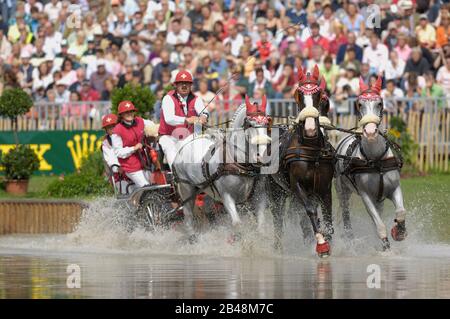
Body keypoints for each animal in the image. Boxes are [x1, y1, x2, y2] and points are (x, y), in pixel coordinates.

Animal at [171, 97, 270, 242]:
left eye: (267, 123)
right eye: (250, 124)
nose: (262, 156)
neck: (242, 165)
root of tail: (185, 144)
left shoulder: (260, 194)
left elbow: (261, 224)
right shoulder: (226, 196)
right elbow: (237, 223)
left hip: (206, 189)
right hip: (186, 189)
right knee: (188, 216)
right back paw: (193, 238)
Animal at [334, 78, 408, 252]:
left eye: (379, 103)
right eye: (359, 104)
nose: (370, 132)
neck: (376, 161)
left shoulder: (394, 188)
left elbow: (401, 212)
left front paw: (399, 231)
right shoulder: (366, 196)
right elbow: (379, 224)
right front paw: (386, 247)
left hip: (378, 198)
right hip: (342, 191)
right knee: (346, 214)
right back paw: (349, 239)